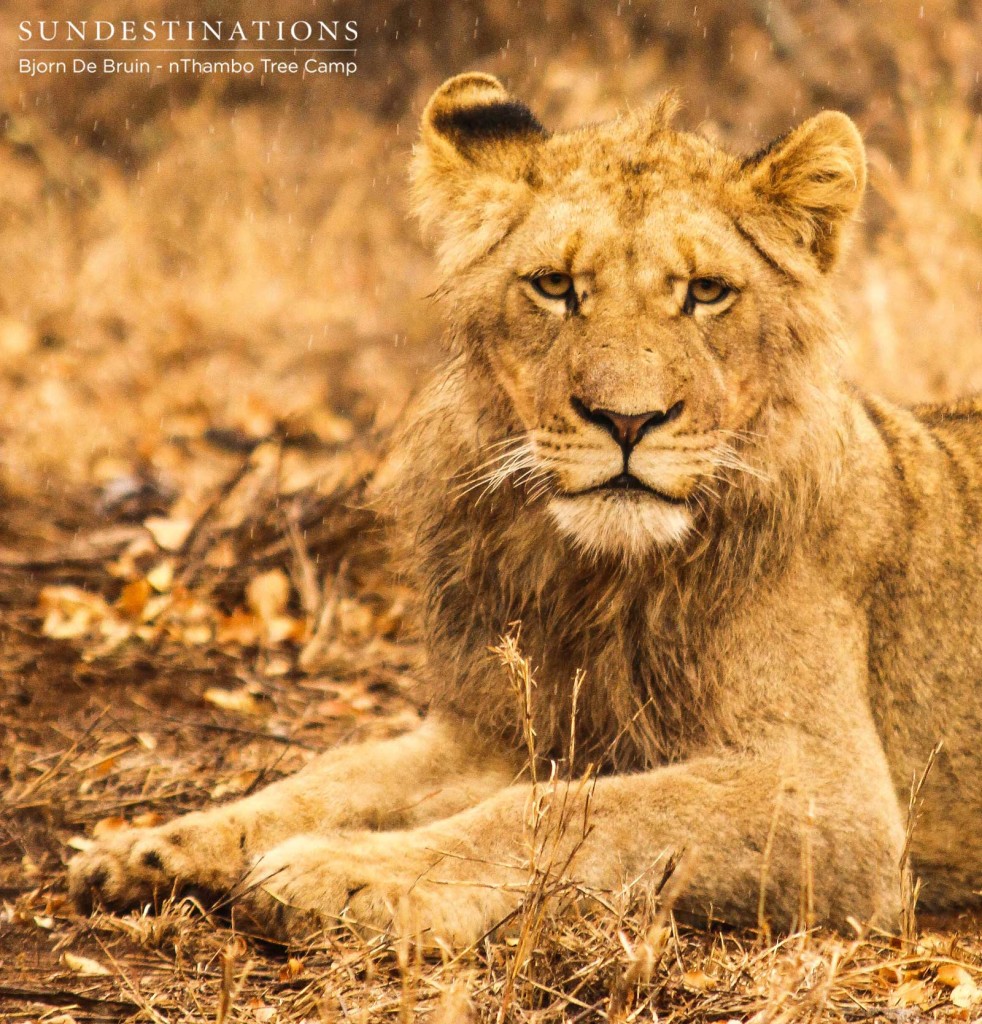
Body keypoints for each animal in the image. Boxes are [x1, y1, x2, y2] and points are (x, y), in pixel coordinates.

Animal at [67, 75, 982, 946]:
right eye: (554, 287)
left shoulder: (837, 802)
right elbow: (334, 775)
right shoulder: (494, 730)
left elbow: (581, 808)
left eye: (707, 292)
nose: (627, 420)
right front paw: (154, 847)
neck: (594, 577)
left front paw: (346, 875)